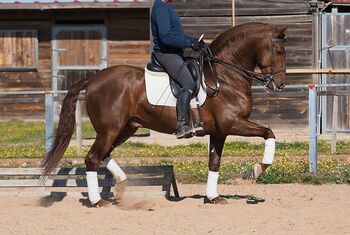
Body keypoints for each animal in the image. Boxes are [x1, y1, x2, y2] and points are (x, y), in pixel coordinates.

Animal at [43, 22, 288, 206]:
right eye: (278, 51)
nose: (280, 84)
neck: (226, 76)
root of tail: (93, 79)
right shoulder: (233, 123)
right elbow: (269, 132)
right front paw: (259, 169)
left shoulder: (220, 132)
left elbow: (214, 163)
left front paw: (213, 197)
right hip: (109, 129)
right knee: (93, 157)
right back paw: (98, 201)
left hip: (126, 128)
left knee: (103, 154)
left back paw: (121, 185)